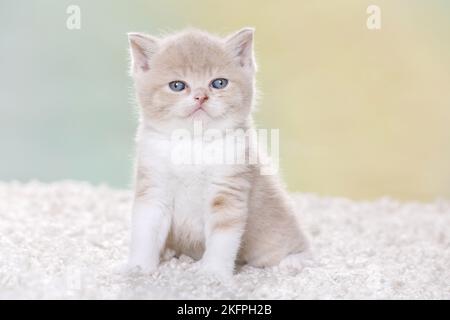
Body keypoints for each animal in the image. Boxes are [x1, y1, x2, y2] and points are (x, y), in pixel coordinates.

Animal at [125, 28, 310, 280]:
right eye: (177, 85)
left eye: (219, 83)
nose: (201, 96)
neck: (193, 143)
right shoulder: (154, 186)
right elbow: (146, 230)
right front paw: (139, 268)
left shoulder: (228, 189)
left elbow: (223, 237)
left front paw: (212, 274)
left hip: (273, 231)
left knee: (298, 246)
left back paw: (292, 262)